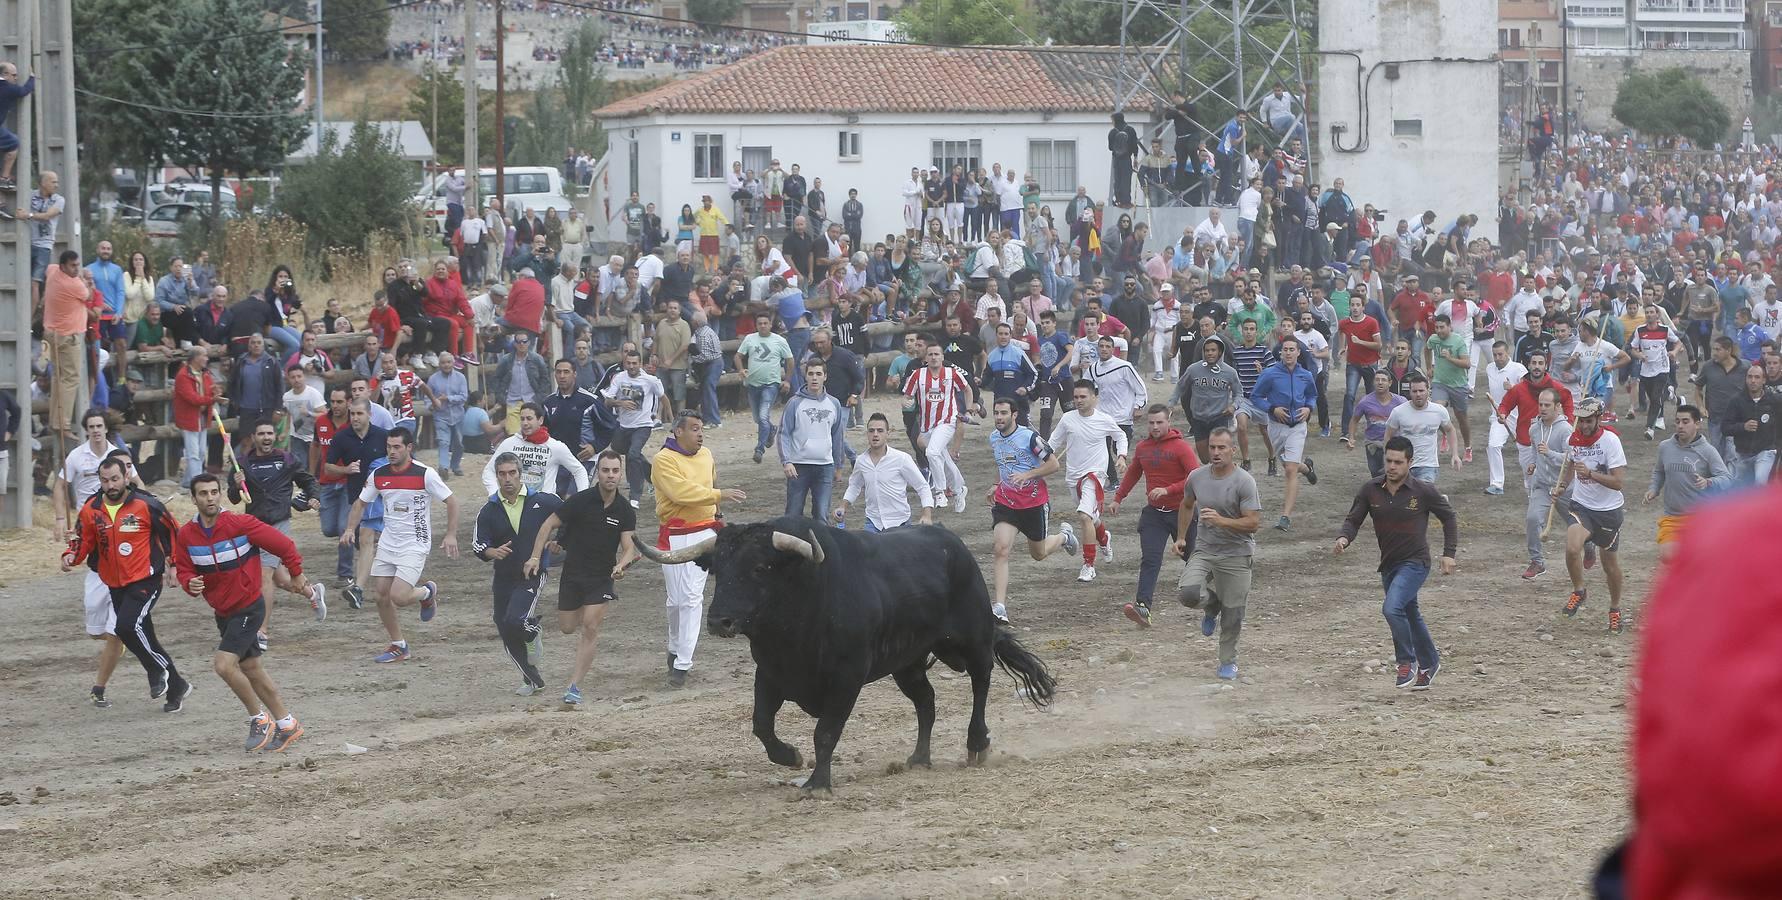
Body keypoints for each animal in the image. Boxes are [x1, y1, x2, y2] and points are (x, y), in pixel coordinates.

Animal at [637, 516, 1054, 787]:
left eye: (760, 567)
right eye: (718, 569)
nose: (719, 621)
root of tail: (956, 548)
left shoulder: (846, 678)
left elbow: (825, 732)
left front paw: (817, 784)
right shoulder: (769, 674)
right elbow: (761, 725)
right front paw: (790, 757)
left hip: (973, 639)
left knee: (981, 684)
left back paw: (976, 744)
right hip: (907, 664)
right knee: (926, 701)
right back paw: (919, 759)